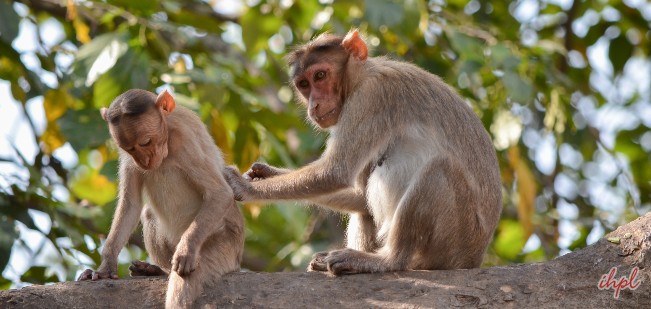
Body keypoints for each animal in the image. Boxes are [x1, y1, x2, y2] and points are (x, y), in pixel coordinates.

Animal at [79, 88, 246, 306]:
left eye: (145, 142)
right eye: (129, 148)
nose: (144, 161)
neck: (168, 133)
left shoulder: (185, 140)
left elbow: (220, 193)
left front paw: (186, 249)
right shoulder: (128, 158)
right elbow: (131, 204)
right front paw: (105, 267)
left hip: (225, 246)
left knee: (185, 278)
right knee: (148, 213)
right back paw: (159, 271)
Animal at [224, 29, 504, 274]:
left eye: (320, 75)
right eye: (304, 84)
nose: (314, 105)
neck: (361, 76)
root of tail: (474, 258)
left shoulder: (370, 98)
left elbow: (335, 172)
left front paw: (245, 188)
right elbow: (359, 195)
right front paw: (266, 173)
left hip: (456, 239)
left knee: (438, 169)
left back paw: (386, 260)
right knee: (366, 205)